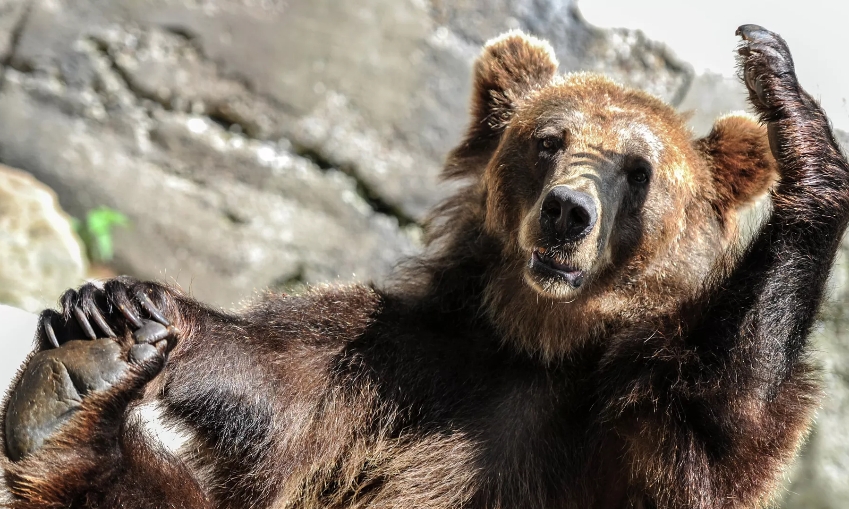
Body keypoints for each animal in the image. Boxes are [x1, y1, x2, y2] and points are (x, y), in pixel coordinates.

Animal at [1, 24, 848, 508]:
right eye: (549, 140)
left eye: (637, 170)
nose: (566, 212)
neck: (538, 341)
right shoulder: (409, 364)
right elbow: (275, 375)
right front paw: (117, 304)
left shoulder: (619, 429)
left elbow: (724, 416)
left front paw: (790, 106)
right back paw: (76, 383)